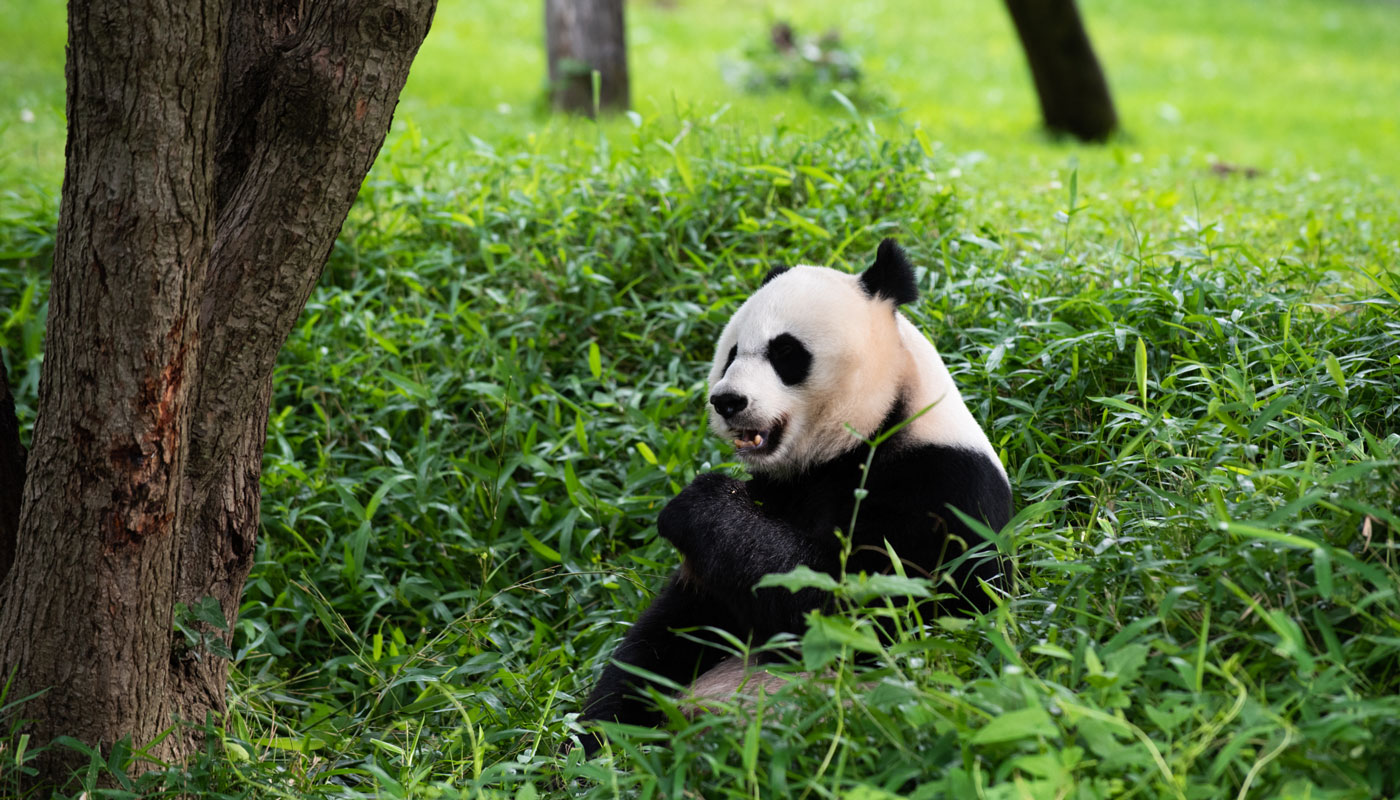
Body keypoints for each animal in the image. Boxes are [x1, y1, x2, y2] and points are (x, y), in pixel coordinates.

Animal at [574, 240, 1013, 756]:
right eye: (732, 353)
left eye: (785, 352)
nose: (727, 401)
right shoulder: (780, 492)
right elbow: (671, 631)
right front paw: (593, 735)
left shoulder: (942, 489)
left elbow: (865, 608)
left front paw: (696, 503)